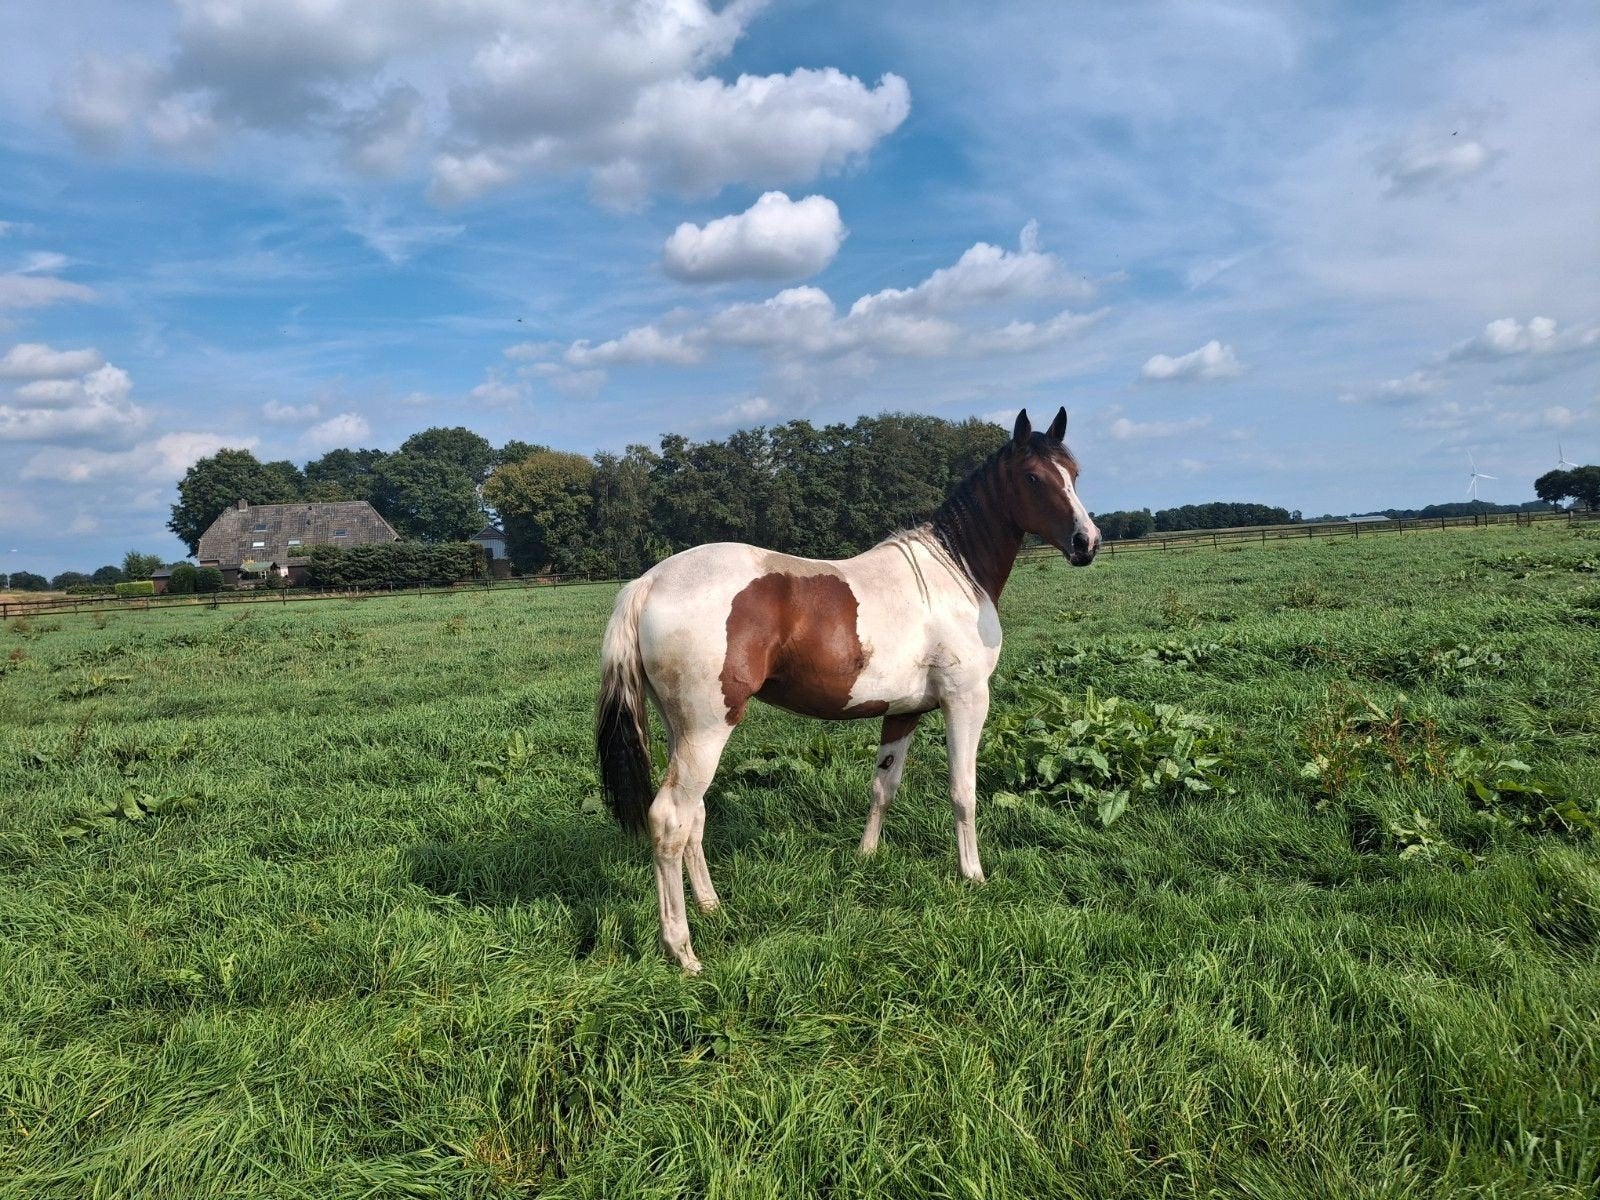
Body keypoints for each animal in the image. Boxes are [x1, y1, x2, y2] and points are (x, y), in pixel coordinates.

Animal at [595, 407, 1101, 971]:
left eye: (1073, 474)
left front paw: (867, 856)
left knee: (694, 817)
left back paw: (711, 906)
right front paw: (972, 875)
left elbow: (884, 787)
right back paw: (683, 952)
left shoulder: (903, 711)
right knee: (669, 820)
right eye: (1033, 478)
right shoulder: (966, 701)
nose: (1087, 542)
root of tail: (648, 583)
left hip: (682, 730)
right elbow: (963, 792)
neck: (953, 575)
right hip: (708, 730)